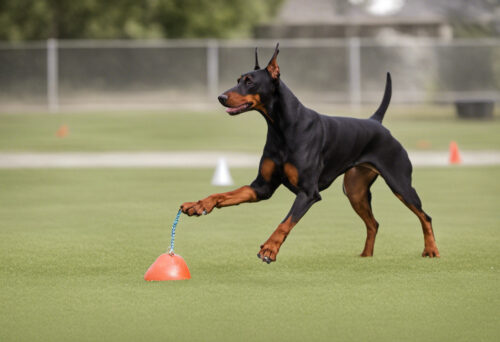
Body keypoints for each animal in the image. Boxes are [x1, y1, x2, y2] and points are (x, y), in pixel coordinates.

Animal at [182, 42, 440, 262]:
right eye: (237, 80)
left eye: (249, 81)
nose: (221, 97)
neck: (282, 127)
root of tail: (376, 122)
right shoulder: (261, 188)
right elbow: (223, 195)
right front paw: (199, 204)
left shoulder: (308, 192)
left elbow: (285, 222)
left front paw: (269, 249)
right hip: (354, 190)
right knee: (373, 223)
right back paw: (366, 256)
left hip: (400, 183)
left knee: (425, 216)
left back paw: (431, 250)